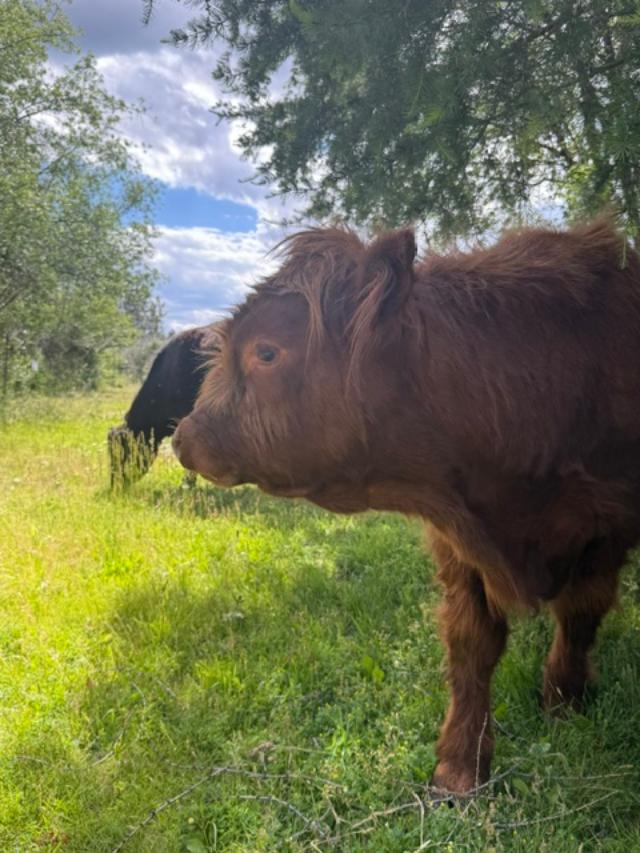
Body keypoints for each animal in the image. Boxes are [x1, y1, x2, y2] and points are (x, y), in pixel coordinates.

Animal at [171, 219, 640, 795]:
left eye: (267, 352)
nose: (186, 436)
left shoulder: (608, 526)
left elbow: (579, 614)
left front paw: (563, 698)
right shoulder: (456, 542)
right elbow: (472, 645)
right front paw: (459, 767)